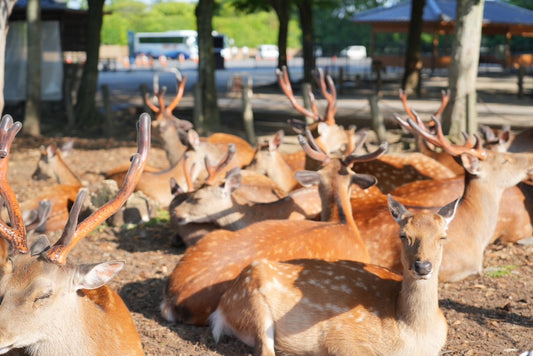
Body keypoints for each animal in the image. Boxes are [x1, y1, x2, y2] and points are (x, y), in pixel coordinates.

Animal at [210, 195, 460, 356]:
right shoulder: (342, 334)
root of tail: (220, 308)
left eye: (443, 237)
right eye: (403, 235)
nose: (422, 266)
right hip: (253, 304)